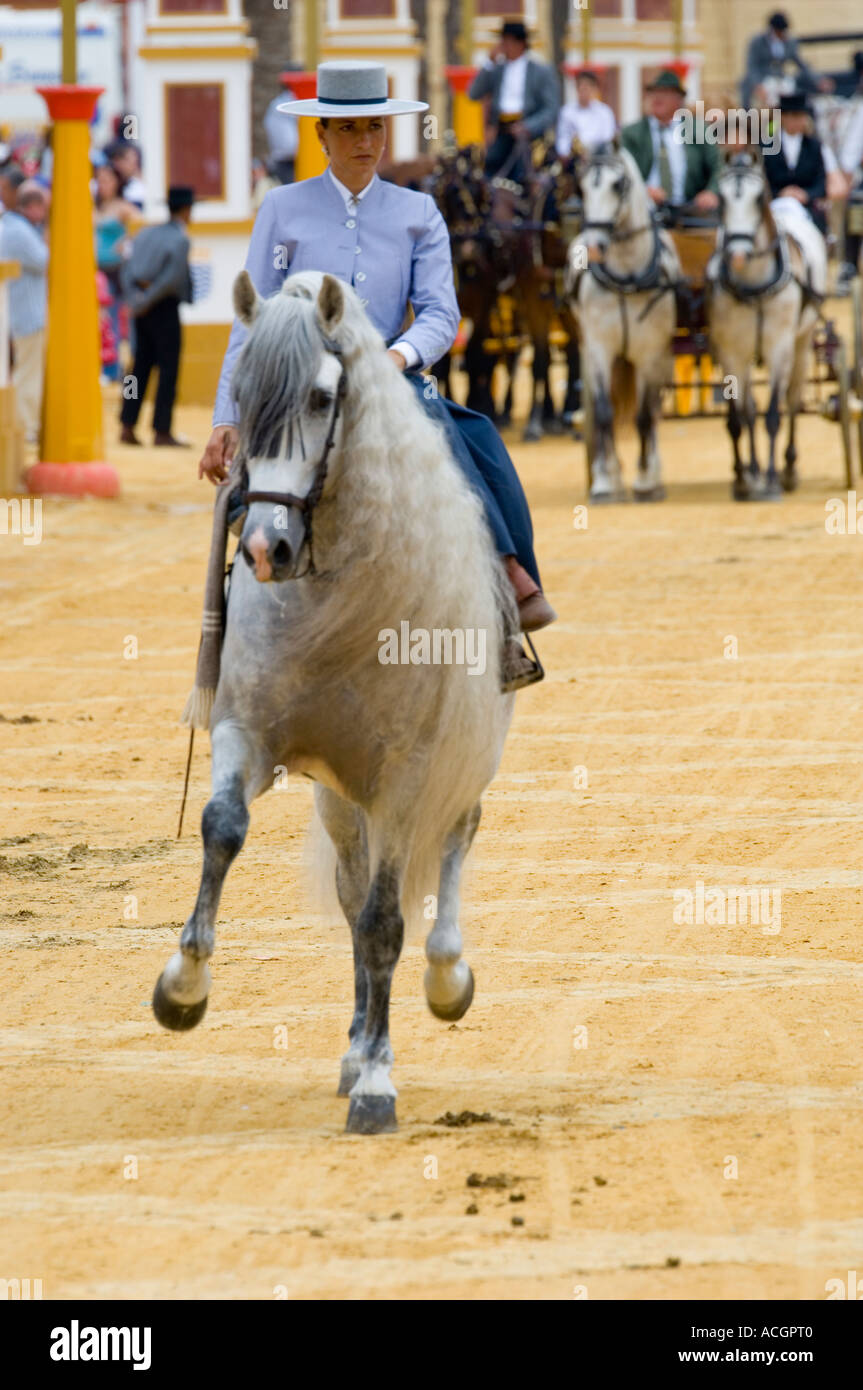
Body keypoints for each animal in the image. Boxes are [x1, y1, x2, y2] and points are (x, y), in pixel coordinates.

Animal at [153, 271, 516, 1135]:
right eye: (242, 390)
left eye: (322, 398)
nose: (263, 547)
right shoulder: (248, 734)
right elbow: (223, 829)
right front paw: (182, 986)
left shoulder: (408, 775)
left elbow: (387, 922)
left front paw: (380, 1084)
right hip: (341, 797)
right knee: (352, 898)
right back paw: (353, 1047)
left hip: (458, 759)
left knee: (454, 841)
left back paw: (445, 977)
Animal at [564, 141, 680, 502]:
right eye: (582, 187)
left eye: (618, 185)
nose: (594, 247)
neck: (627, 276)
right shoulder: (599, 349)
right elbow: (603, 412)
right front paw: (604, 480)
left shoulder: (649, 351)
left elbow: (643, 416)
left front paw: (645, 481)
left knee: (653, 410)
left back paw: (653, 471)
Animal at [708, 154, 826, 499]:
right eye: (721, 199)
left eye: (758, 198)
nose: (737, 254)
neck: (754, 286)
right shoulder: (731, 352)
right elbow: (744, 414)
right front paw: (747, 476)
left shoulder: (779, 347)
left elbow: (773, 414)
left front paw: (771, 478)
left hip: (801, 344)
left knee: (792, 400)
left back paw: (788, 467)